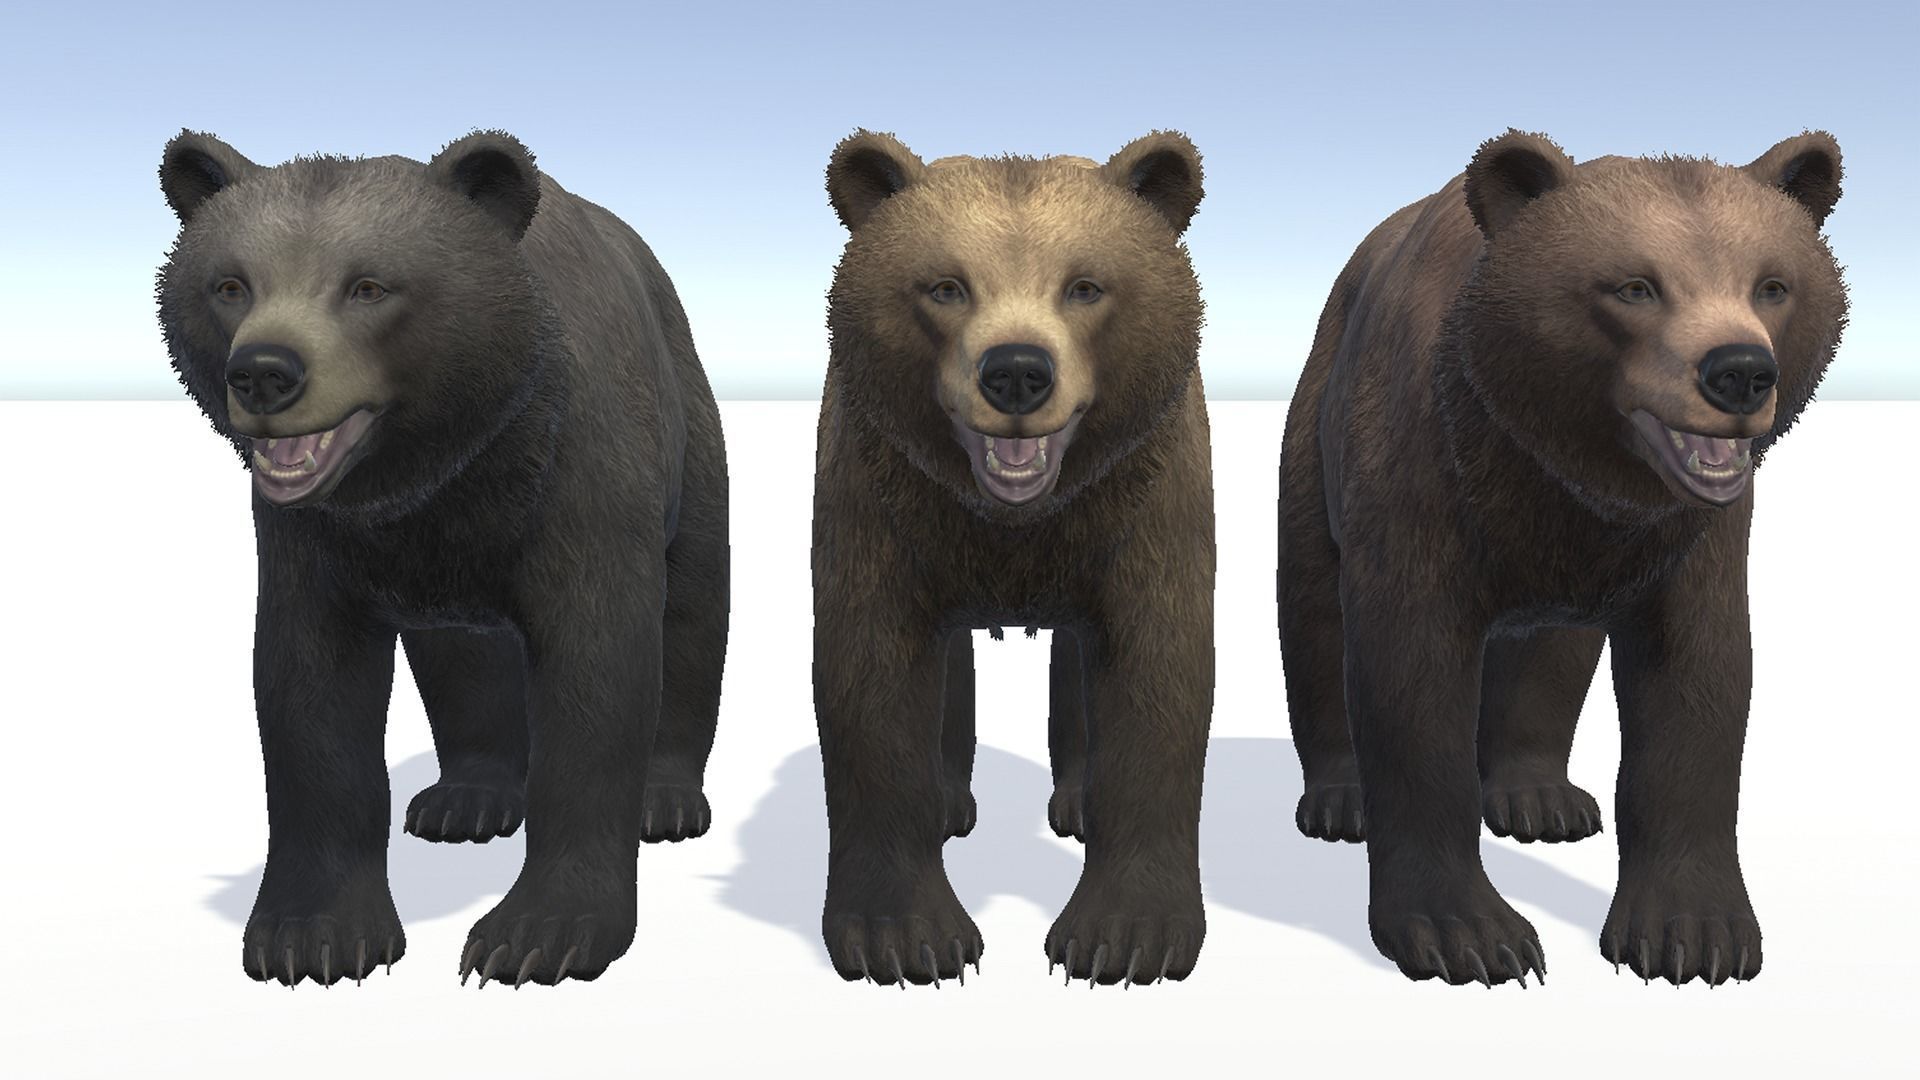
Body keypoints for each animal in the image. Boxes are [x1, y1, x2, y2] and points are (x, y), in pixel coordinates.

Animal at [156, 129, 730, 987]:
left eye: (368, 286)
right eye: (229, 283)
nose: (263, 371)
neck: (446, 468)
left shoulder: (582, 483)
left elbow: (599, 674)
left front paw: (539, 933)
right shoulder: (317, 542)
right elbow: (309, 693)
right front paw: (313, 933)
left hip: (687, 436)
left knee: (693, 606)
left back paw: (665, 797)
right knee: (461, 655)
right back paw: (468, 796)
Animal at [812, 130, 1216, 988]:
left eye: (1086, 286)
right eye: (945, 286)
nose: (1018, 372)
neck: (1013, 522)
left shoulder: (1145, 496)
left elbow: (1155, 669)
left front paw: (1124, 936)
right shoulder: (882, 495)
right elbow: (872, 677)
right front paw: (906, 938)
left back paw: (1075, 803)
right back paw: (950, 803)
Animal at [1276, 129, 1845, 987]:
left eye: (1774, 284)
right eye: (1635, 286)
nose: (1740, 371)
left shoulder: (1685, 537)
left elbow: (1697, 679)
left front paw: (1693, 930)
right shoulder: (1422, 476)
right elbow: (1410, 675)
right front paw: (1469, 933)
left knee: (1554, 650)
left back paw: (1537, 796)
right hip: (1318, 425)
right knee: (1312, 604)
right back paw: (1341, 797)